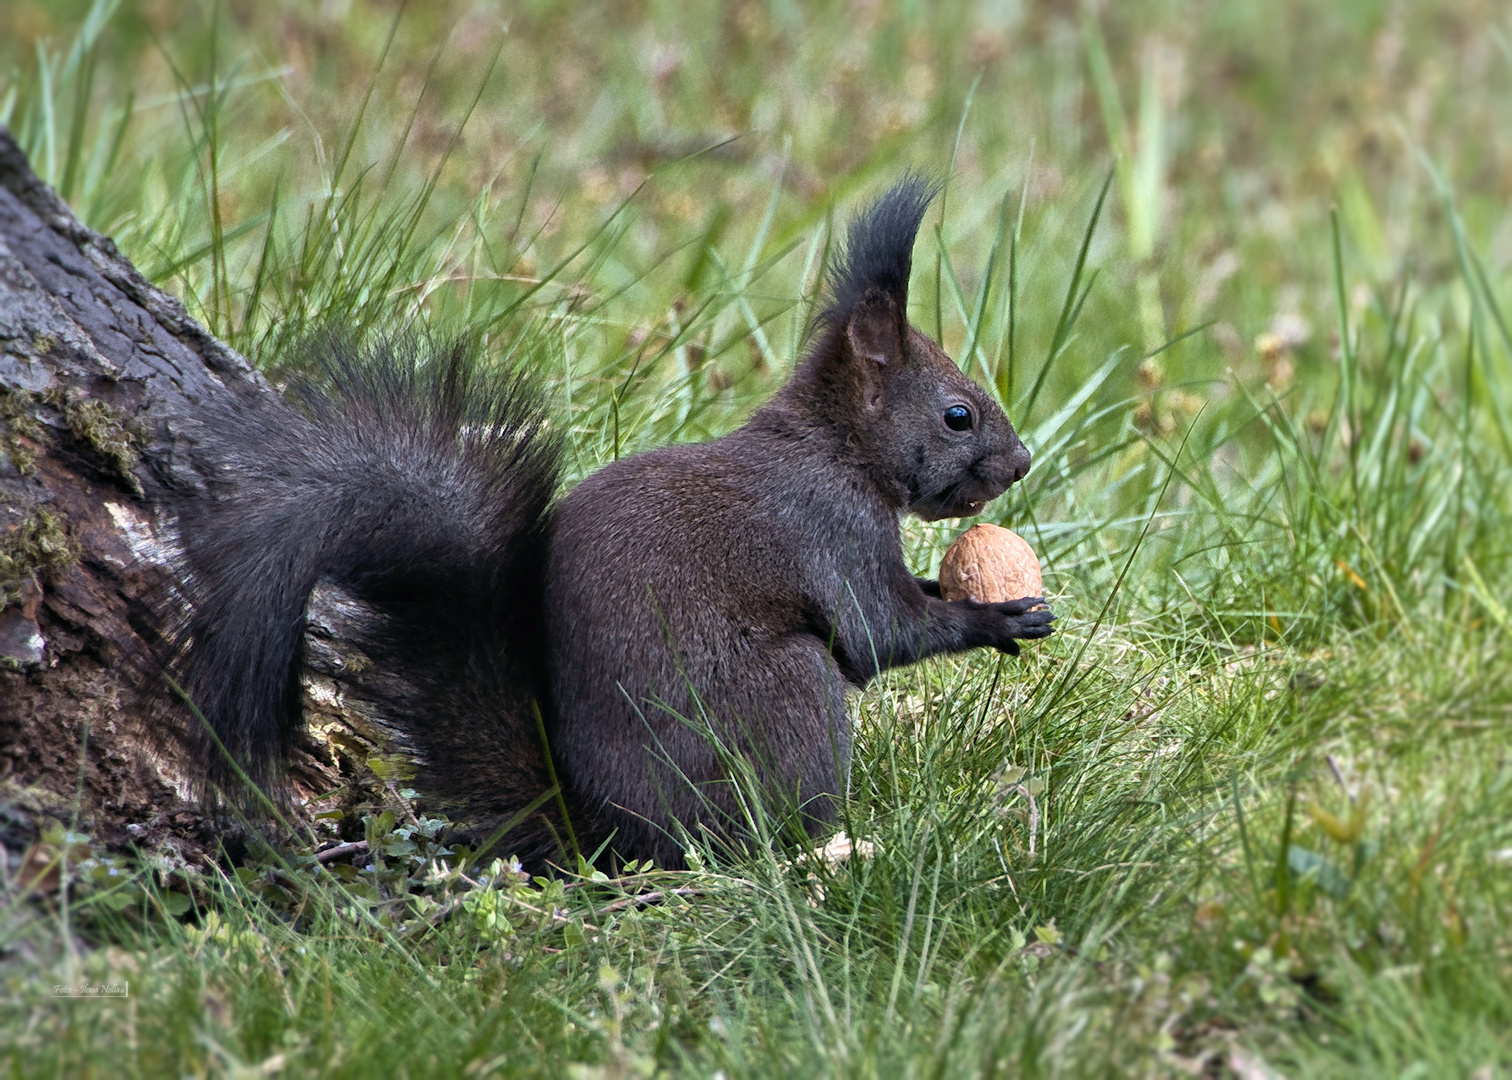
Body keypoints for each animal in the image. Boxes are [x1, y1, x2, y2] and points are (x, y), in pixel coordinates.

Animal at [171, 176, 1052, 865]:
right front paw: (997, 617)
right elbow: (880, 634)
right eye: (958, 415)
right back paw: (820, 850)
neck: (836, 447)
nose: (1021, 463)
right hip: (788, 698)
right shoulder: (830, 528)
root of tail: (609, 838)